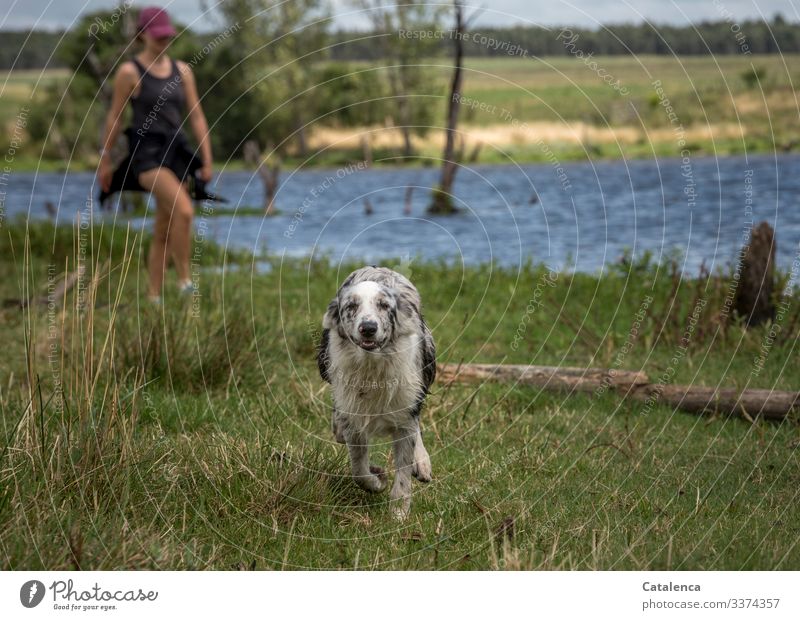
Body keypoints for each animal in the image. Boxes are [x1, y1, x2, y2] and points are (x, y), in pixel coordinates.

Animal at [316, 266, 434, 520]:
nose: (368, 328)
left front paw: (398, 514)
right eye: (351, 306)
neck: (373, 367)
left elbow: (403, 471)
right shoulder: (354, 418)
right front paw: (378, 480)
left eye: (384, 305)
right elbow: (359, 471)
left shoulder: (405, 413)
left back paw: (422, 463)